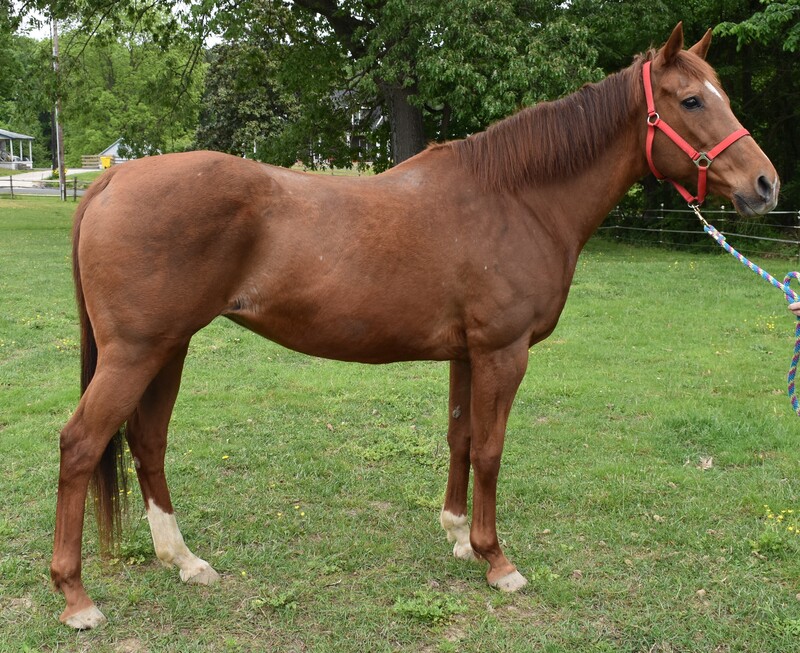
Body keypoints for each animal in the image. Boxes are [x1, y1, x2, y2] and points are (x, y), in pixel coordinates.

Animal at [51, 24, 776, 628]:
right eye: (691, 101)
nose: (766, 185)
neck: (515, 198)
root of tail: (111, 182)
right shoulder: (503, 352)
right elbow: (490, 450)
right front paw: (496, 560)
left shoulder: (467, 353)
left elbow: (459, 437)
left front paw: (457, 535)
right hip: (136, 353)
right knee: (81, 444)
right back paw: (77, 598)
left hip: (167, 349)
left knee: (147, 440)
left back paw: (185, 561)